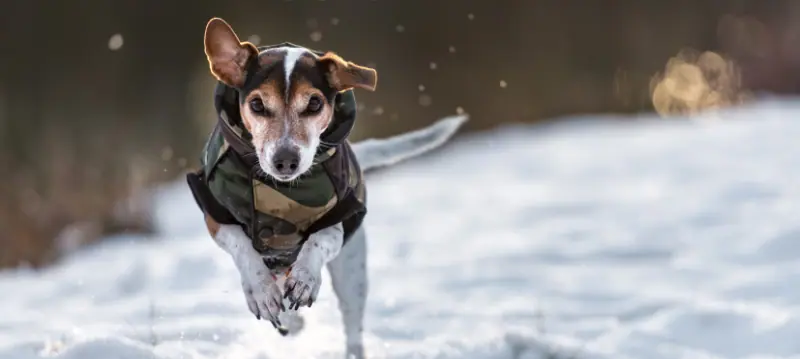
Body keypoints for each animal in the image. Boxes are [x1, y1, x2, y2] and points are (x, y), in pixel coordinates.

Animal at [186, 18, 468, 358]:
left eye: (314, 103)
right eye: (256, 104)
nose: (285, 161)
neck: (282, 190)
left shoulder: (341, 218)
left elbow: (318, 241)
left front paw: (305, 279)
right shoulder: (215, 215)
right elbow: (242, 246)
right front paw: (261, 290)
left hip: (352, 272)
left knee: (352, 326)